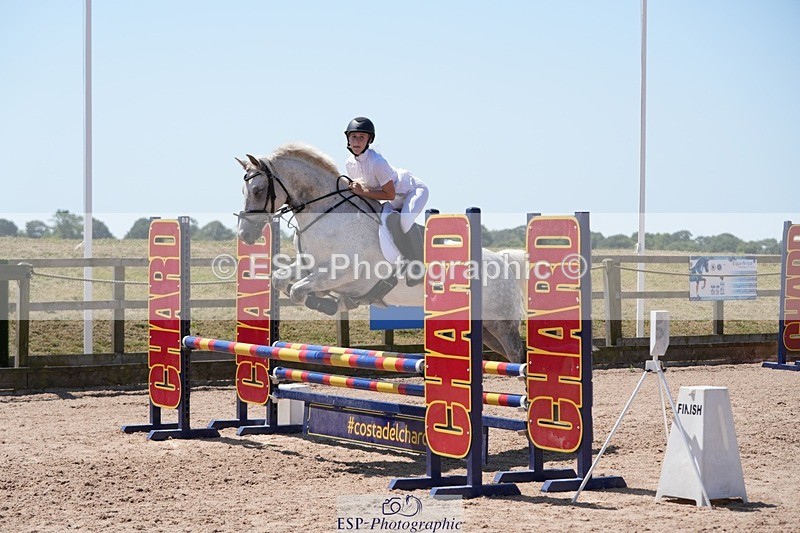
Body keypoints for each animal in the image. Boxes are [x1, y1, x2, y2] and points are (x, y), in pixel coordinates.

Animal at [236, 142, 525, 363]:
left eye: (258, 190)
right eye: (243, 190)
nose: (245, 235)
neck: (327, 213)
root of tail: (504, 262)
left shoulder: (342, 272)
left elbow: (298, 290)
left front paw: (328, 303)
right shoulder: (310, 266)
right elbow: (282, 280)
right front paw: (332, 301)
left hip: (500, 322)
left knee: (518, 356)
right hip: (484, 326)